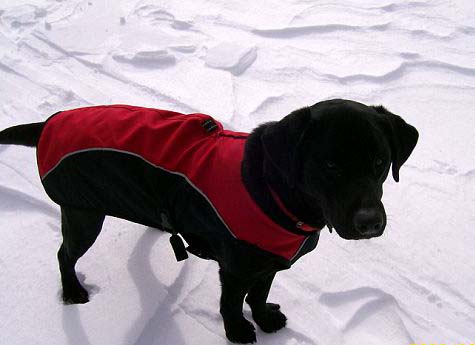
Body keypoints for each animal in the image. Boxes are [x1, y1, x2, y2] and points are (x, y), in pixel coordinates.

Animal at [0, 99, 416, 342]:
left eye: (380, 162)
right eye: (329, 165)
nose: (370, 223)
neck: (273, 190)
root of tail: (50, 122)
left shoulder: (268, 263)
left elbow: (259, 294)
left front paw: (265, 319)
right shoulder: (235, 268)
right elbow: (231, 304)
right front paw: (238, 331)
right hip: (83, 214)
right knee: (64, 255)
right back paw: (72, 291)